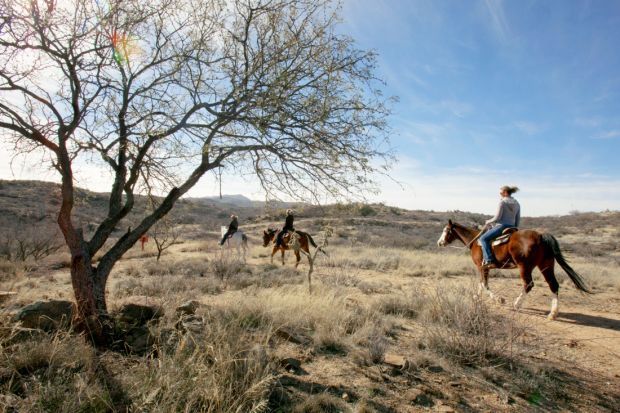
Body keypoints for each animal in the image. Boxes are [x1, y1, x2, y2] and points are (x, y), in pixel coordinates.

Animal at [436, 219, 592, 318]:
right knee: (553, 284)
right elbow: (482, 283)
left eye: (446, 230)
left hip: (525, 267)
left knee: (528, 284)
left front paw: (499, 300)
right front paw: (477, 297)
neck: (475, 241)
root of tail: (541, 236)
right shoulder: (485, 268)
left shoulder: (482, 266)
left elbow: (484, 284)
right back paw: (553, 313)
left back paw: (517, 304)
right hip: (546, 265)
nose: (439, 242)